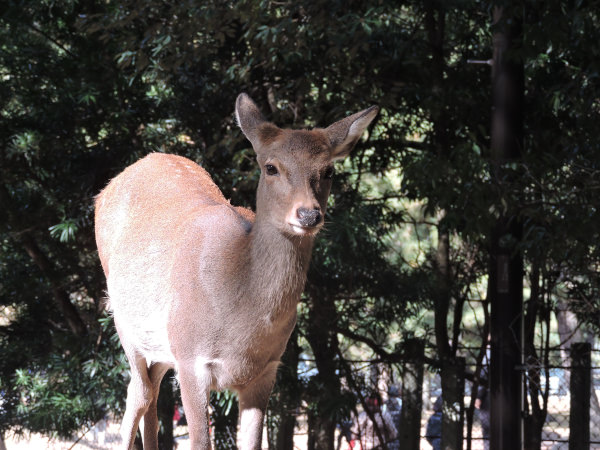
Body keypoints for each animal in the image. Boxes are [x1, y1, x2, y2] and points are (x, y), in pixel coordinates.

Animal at [94, 93, 378, 448]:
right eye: (271, 167)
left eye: (328, 171)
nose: (309, 215)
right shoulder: (190, 359)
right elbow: (201, 441)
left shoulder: (268, 367)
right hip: (125, 322)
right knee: (138, 393)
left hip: (161, 349)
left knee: (151, 395)